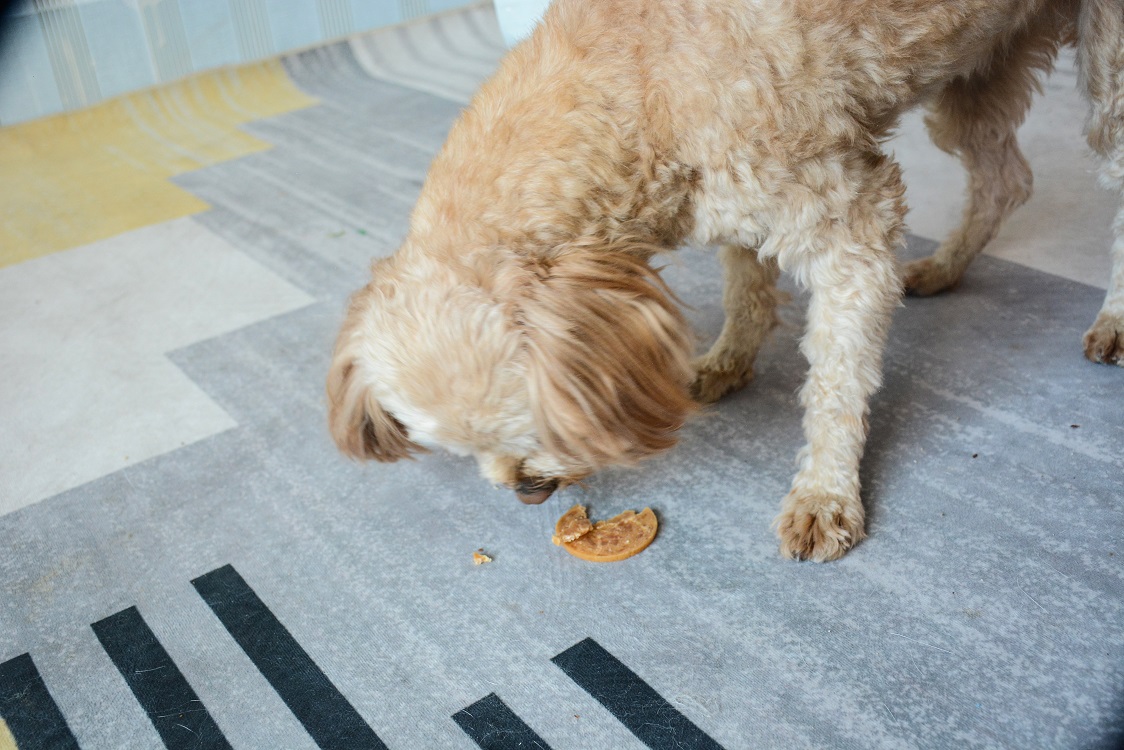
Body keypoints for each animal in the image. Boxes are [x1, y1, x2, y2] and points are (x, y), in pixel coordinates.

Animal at [325, 0, 1124, 559]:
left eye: (543, 426)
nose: (526, 491)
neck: (636, 76)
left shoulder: (853, 228)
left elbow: (835, 387)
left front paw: (825, 494)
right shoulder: (730, 201)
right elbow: (746, 282)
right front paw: (729, 359)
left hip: (1106, 70)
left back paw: (1113, 319)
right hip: (976, 71)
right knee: (1005, 178)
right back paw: (946, 265)